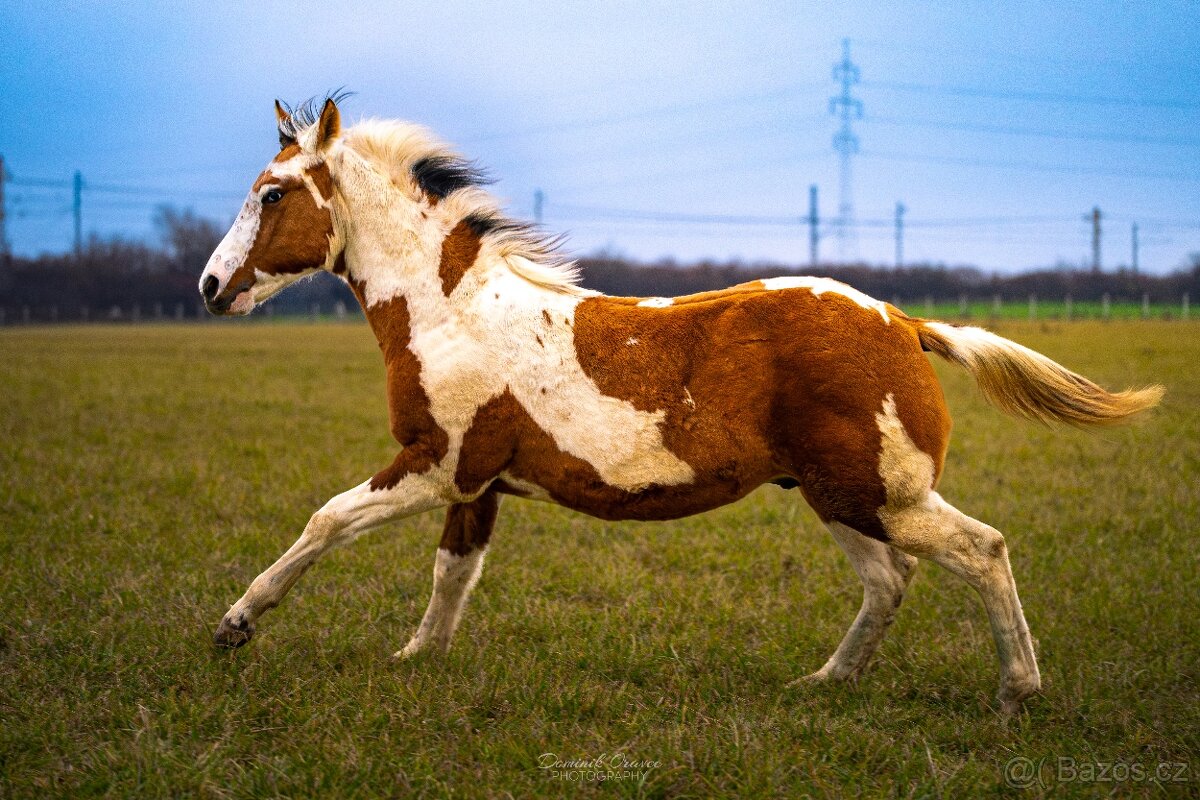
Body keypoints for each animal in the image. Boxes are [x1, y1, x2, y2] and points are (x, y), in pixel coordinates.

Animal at [199, 94, 1162, 715]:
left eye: (273, 192)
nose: (209, 287)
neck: (452, 312)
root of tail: (905, 321)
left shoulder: (438, 464)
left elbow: (326, 520)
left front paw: (235, 624)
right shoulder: (477, 487)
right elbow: (451, 579)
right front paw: (415, 661)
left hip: (877, 493)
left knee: (980, 549)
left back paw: (1018, 690)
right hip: (839, 495)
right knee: (893, 580)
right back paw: (824, 685)